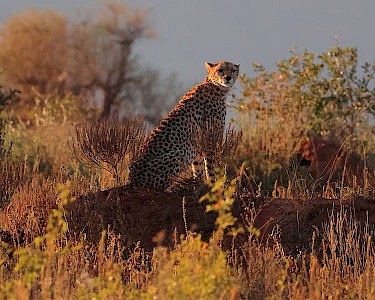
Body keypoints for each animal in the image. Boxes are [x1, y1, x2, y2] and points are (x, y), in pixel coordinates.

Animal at [129, 61, 241, 190]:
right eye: (220, 70)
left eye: (233, 70)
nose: (228, 77)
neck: (214, 86)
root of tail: (133, 181)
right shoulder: (210, 139)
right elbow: (210, 165)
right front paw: (213, 184)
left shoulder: (197, 143)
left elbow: (198, 165)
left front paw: (199, 182)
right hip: (180, 153)